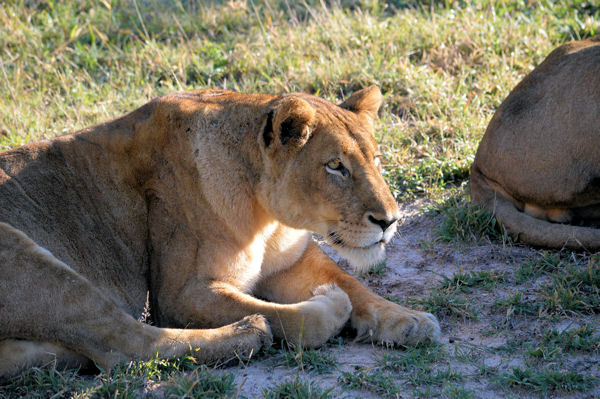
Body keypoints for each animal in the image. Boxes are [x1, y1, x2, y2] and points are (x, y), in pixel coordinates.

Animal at [0, 86, 440, 380]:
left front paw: (409, 319)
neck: (266, 217)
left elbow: (354, 283)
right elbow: (283, 314)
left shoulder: (293, 261)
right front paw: (327, 304)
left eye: (377, 159)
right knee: (125, 345)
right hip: (24, 253)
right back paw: (251, 333)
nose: (390, 221)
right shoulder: (180, 294)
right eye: (335, 166)